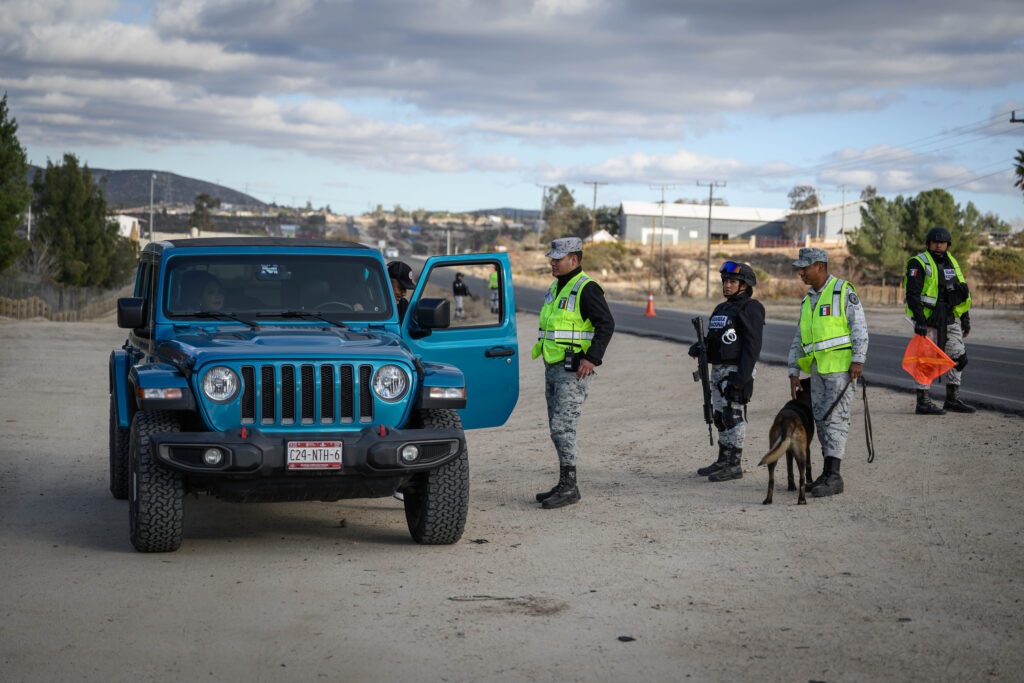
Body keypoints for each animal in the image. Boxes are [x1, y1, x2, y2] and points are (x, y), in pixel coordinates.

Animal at [761, 376, 815, 505]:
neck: (802, 398)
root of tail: (787, 421)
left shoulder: (787, 451)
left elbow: (789, 469)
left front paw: (791, 486)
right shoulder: (807, 448)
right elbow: (809, 467)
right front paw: (810, 481)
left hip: (773, 453)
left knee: (771, 480)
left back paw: (768, 499)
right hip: (801, 454)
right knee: (802, 478)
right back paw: (802, 499)